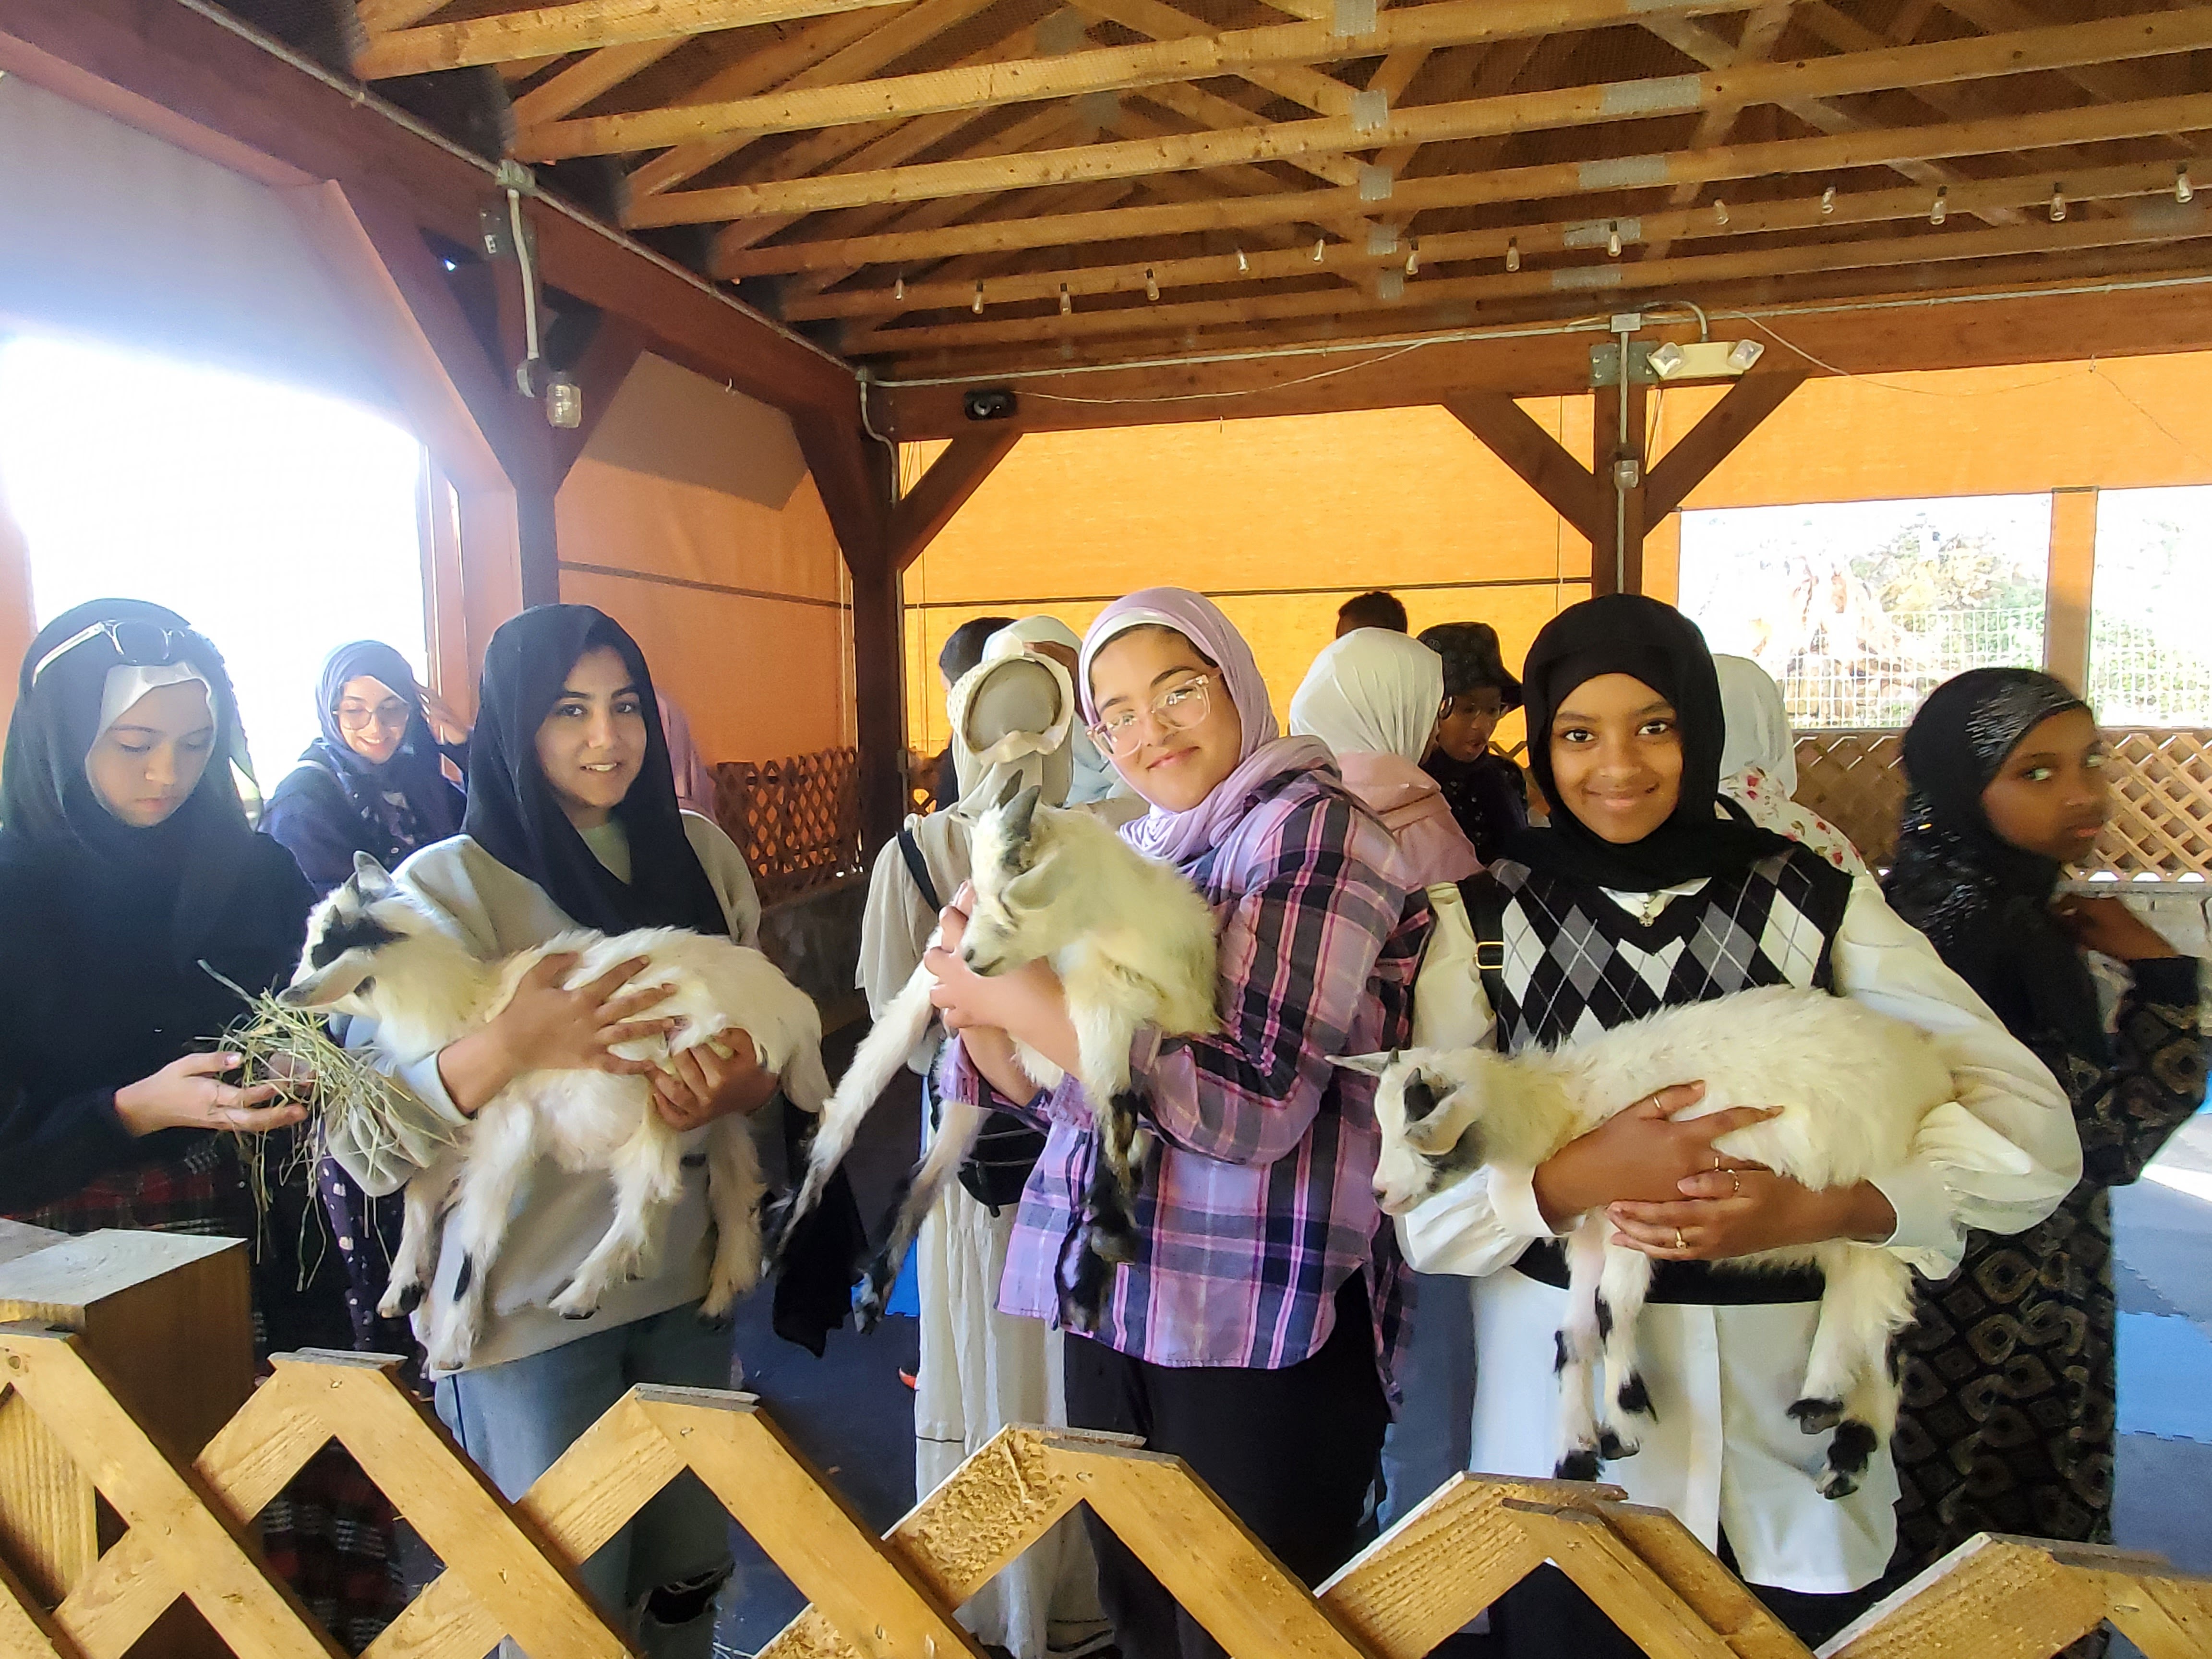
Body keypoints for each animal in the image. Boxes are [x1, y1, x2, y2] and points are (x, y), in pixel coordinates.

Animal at [278, 858, 831, 1380]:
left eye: (323, 949)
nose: (288, 993)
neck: (467, 1010)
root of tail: (797, 1011)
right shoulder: (459, 1128)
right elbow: (418, 1192)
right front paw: (402, 1290)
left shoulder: (505, 1132)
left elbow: (476, 1232)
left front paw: (454, 1342)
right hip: (716, 1107)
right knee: (736, 1186)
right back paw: (719, 1292)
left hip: (667, 1090)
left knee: (653, 1189)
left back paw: (581, 1295)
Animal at [783, 787, 1230, 1336]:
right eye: (978, 893)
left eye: (1010, 904)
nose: (969, 957)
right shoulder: (1096, 996)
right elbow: (1118, 1107)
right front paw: (1105, 1241)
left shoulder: (1127, 1014)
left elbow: (1124, 1120)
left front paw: (1096, 1257)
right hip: (923, 1000)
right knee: (855, 1096)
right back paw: (797, 1226)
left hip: (967, 1098)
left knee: (927, 1172)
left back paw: (875, 1292)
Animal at [1345, 986, 1955, 1504]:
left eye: (1420, 1135)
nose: (1379, 1195)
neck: (1566, 1107)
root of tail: (1934, 1066)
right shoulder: (1592, 1233)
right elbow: (1574, 1334)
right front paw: (1576, 1457)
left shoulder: (1637, 1215)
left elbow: (1612, 1309)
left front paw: (1624, 1423)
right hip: (1838, 1222)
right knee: (1860, 1299)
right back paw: (1824, 1405)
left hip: (1872, 1188)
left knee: (1886, 1325)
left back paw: (1845, 1439)